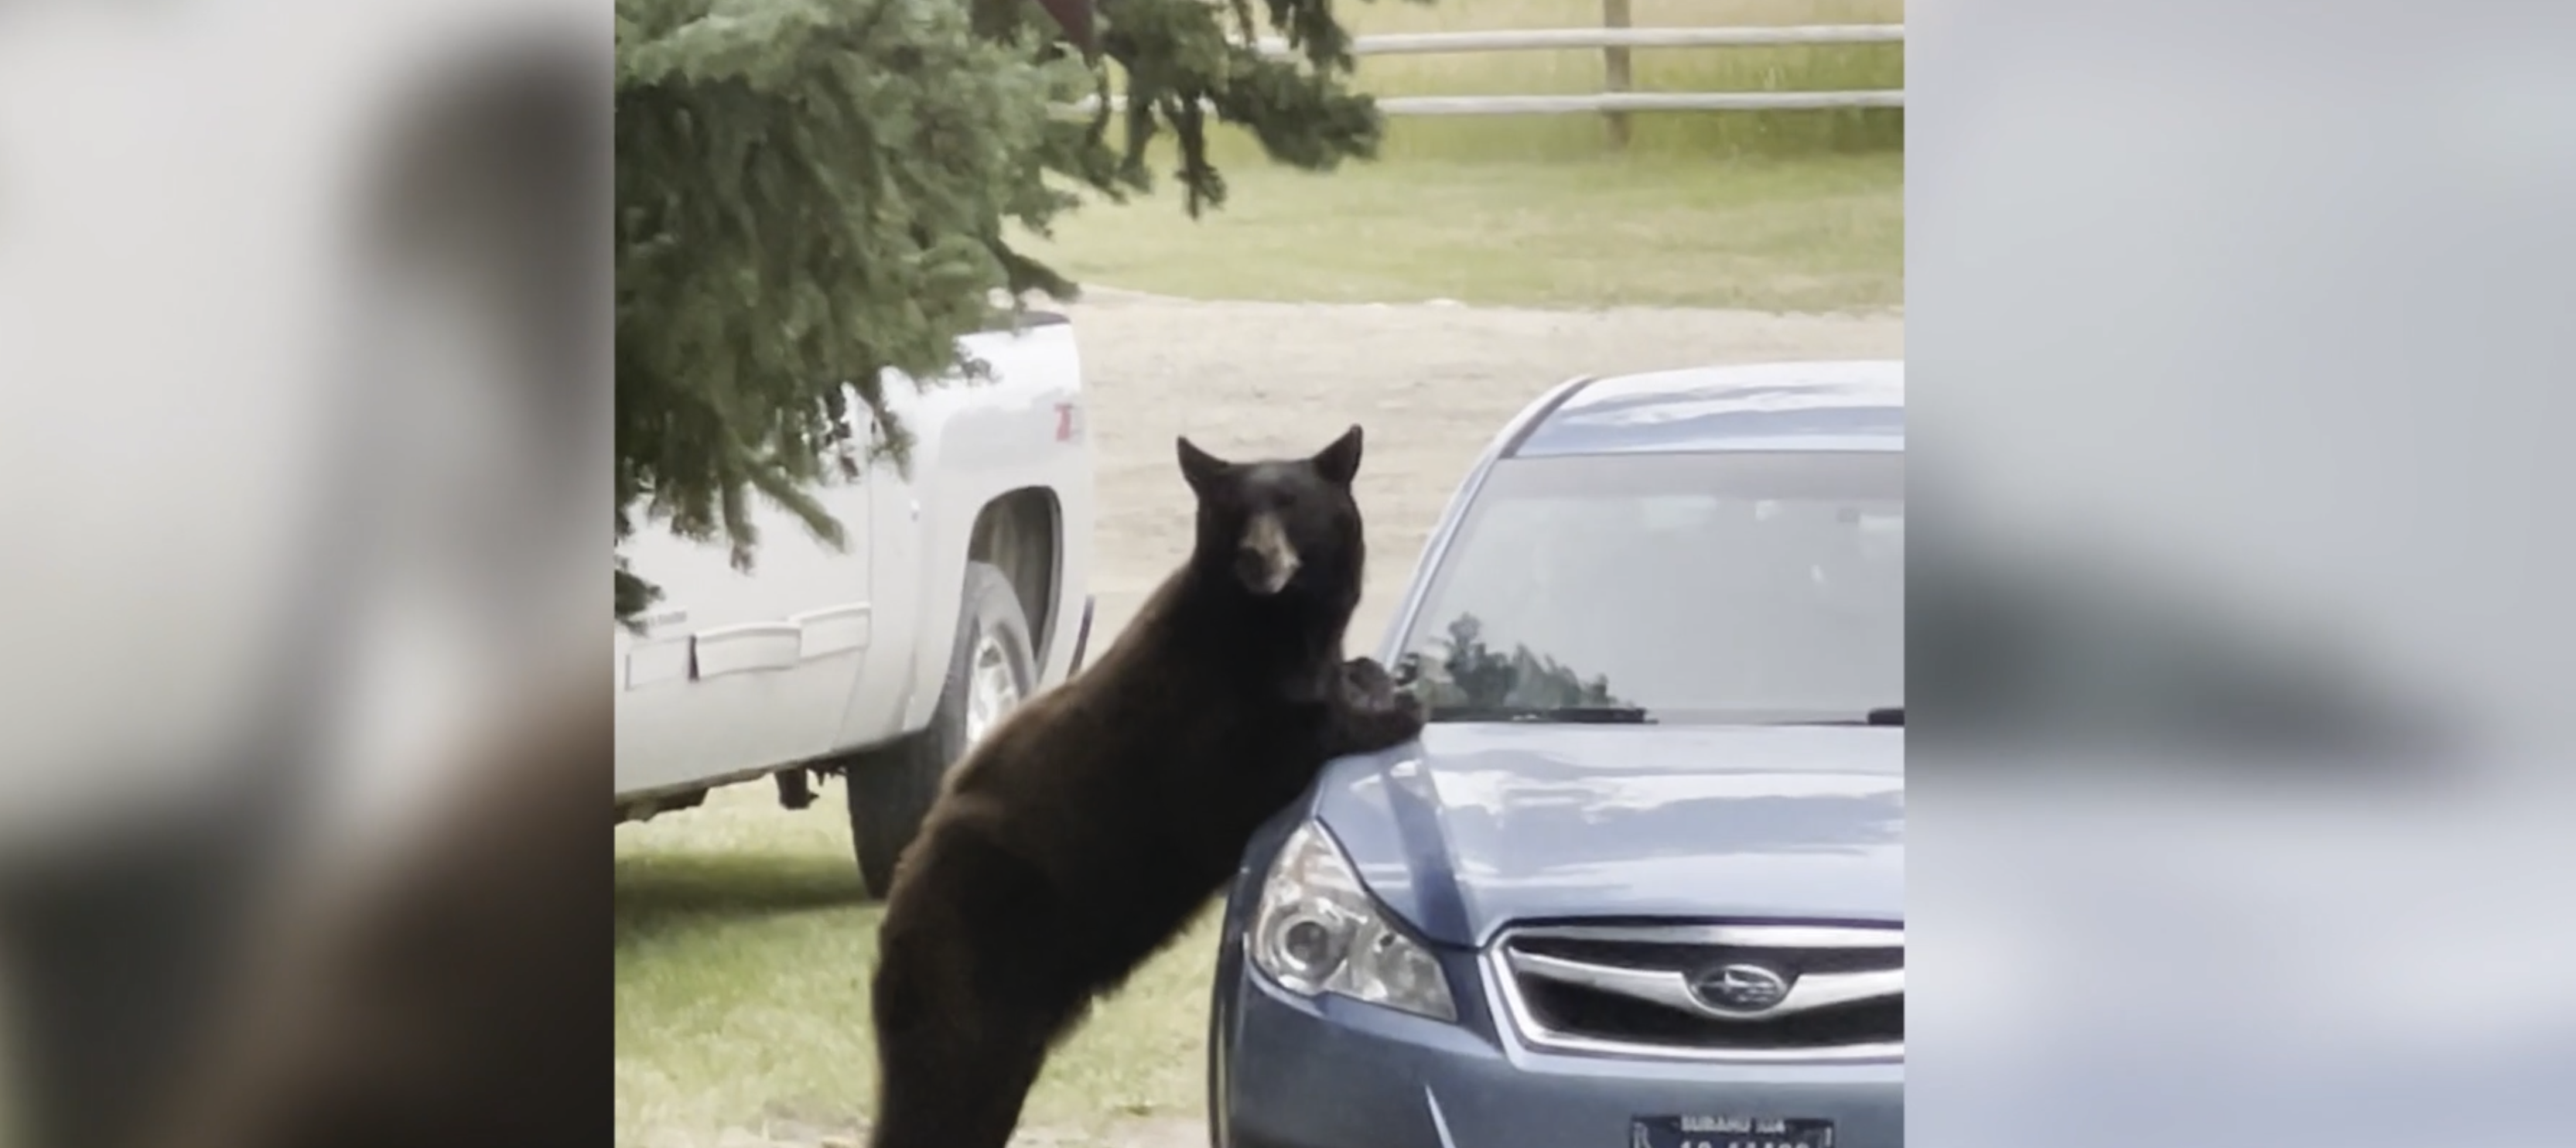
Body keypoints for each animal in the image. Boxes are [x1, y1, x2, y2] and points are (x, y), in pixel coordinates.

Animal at [864, 425, 1426, 1148]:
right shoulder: (1209, 723)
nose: (1256, 557)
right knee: (945, 1086)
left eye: (1292, 504)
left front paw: (1372, 677)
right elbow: (1283, 739)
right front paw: (1395, 709)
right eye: (1235, 511)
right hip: (973, 970)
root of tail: (900, 906)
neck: (1271, 623)